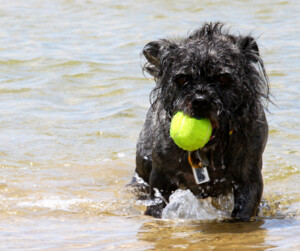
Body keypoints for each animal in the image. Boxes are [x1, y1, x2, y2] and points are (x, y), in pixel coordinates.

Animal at [131, 22, 270, 222]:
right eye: (182, 78)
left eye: (223, 77)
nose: (200, 100)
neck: (210, 151)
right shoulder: (160, 178)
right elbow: (156, 204)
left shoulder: (250, 180)